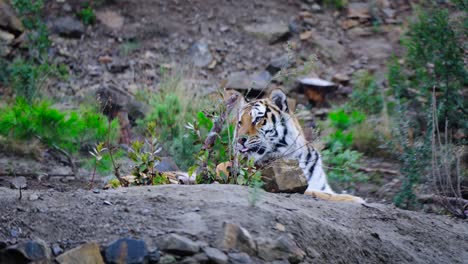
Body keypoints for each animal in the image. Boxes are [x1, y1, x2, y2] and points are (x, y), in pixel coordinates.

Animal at [230, 89, 366, 203]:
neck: (296, 156)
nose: (239, 140)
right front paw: (355, 199)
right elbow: (324, 195)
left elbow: (327, 192)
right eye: (240, 122)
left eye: (258, 119)